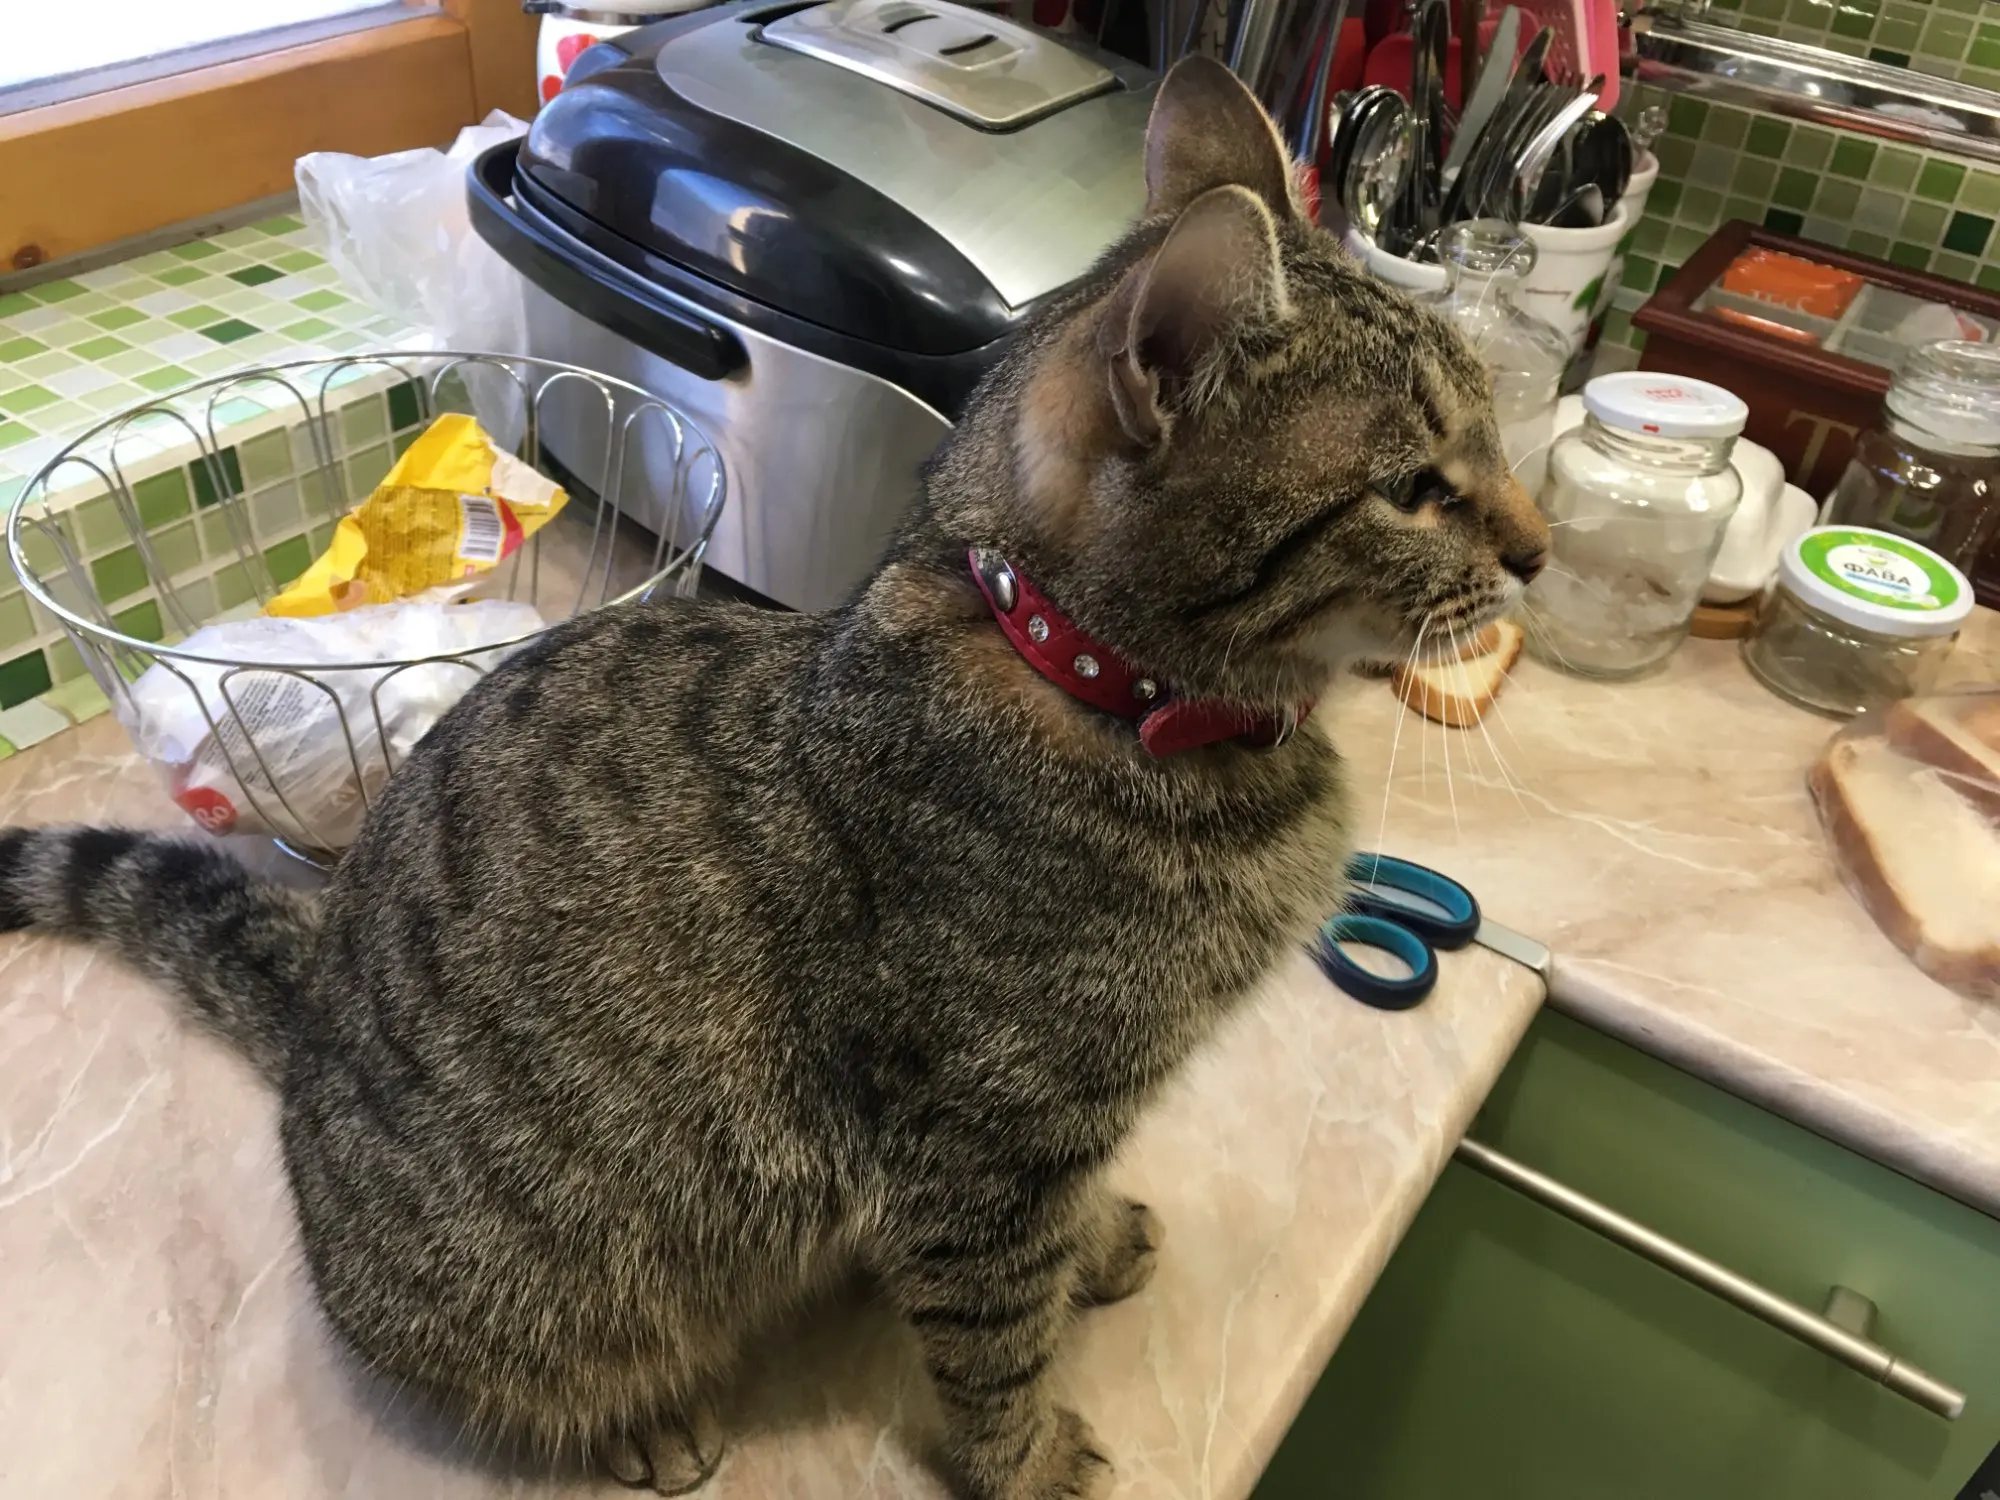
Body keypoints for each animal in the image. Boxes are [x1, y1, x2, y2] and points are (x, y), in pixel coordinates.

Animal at [0, 57, 1545, 1500]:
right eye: (1417, 486)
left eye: (1492, 429)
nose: (1537, 551)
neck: (1103, 692)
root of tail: (316, 1003)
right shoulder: (981, 1144)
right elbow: (995, 1339)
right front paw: (1025, 1456)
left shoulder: (1059, 1129)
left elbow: (1069, 1224)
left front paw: (1098, 1241)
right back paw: (641, 1421)